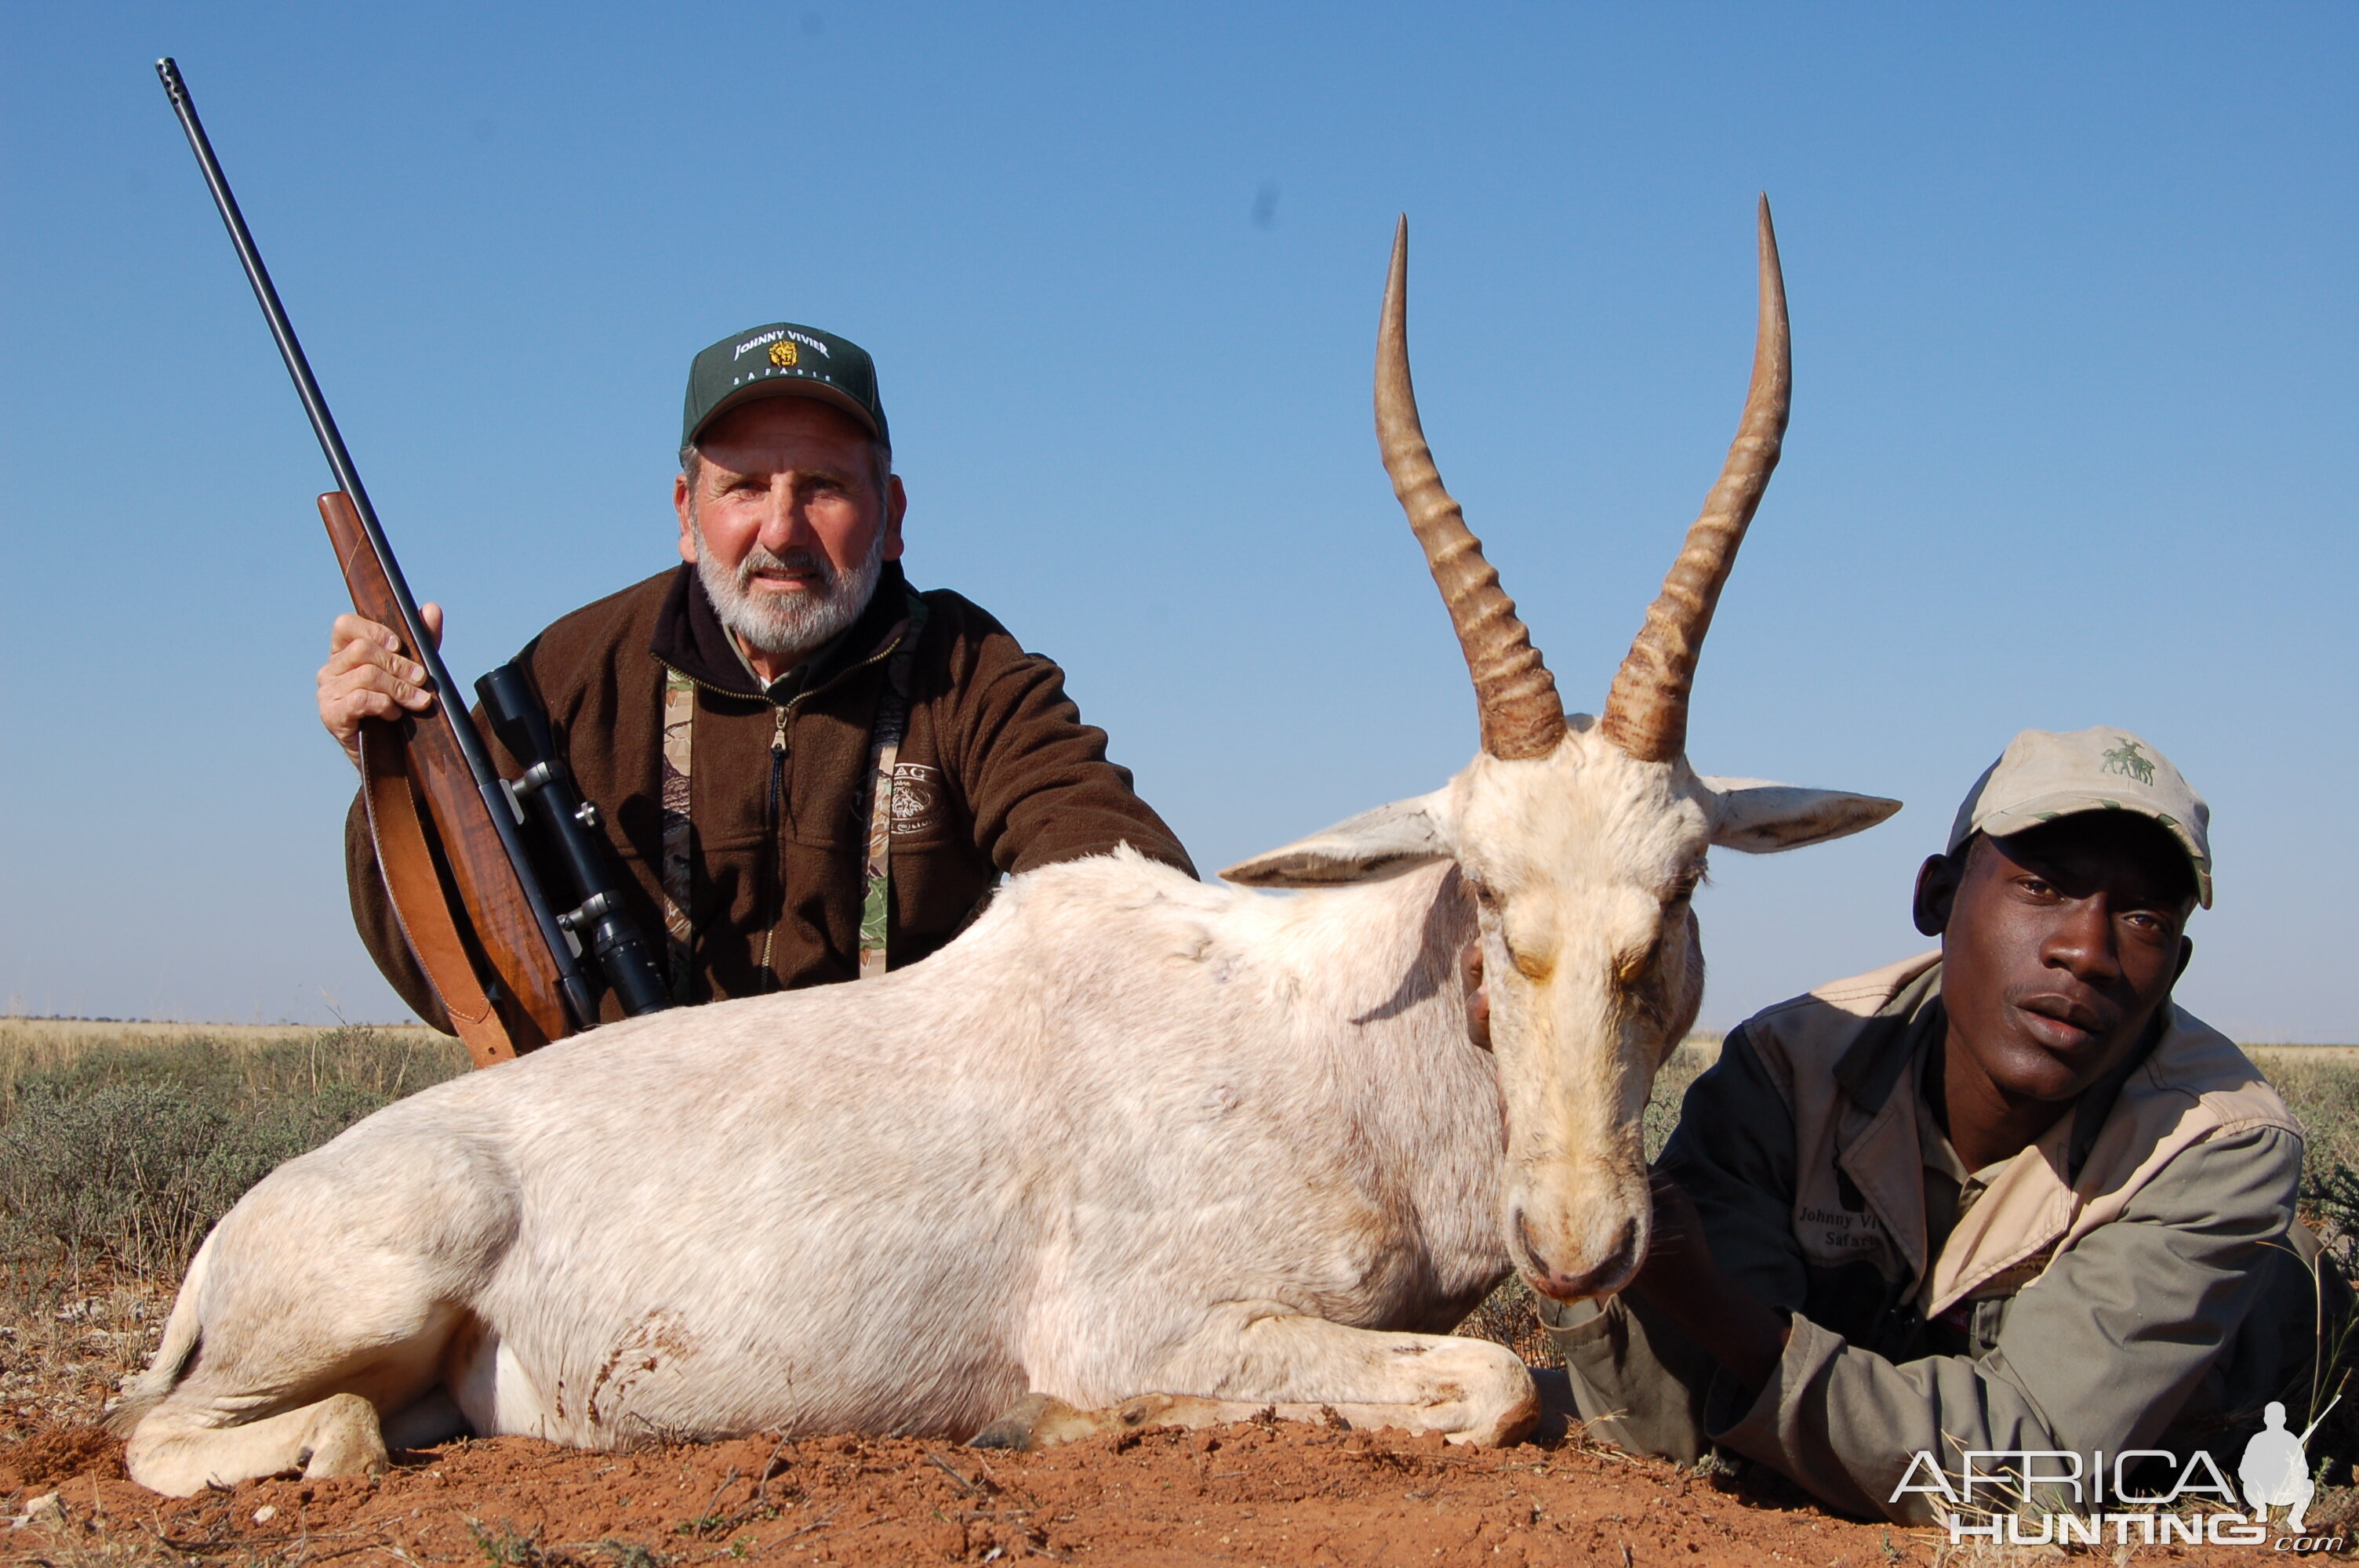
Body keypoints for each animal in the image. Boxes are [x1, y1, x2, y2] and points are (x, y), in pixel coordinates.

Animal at [124, 199, 1896, 1490]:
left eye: (1680, 887)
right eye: (1480, 884)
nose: (1578, 1239)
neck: (1331, 1034)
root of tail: (233, 1241)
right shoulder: (1150, 1324)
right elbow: (1490, 1383)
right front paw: (1054, 1421)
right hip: (371, 1294)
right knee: (236, 1436)